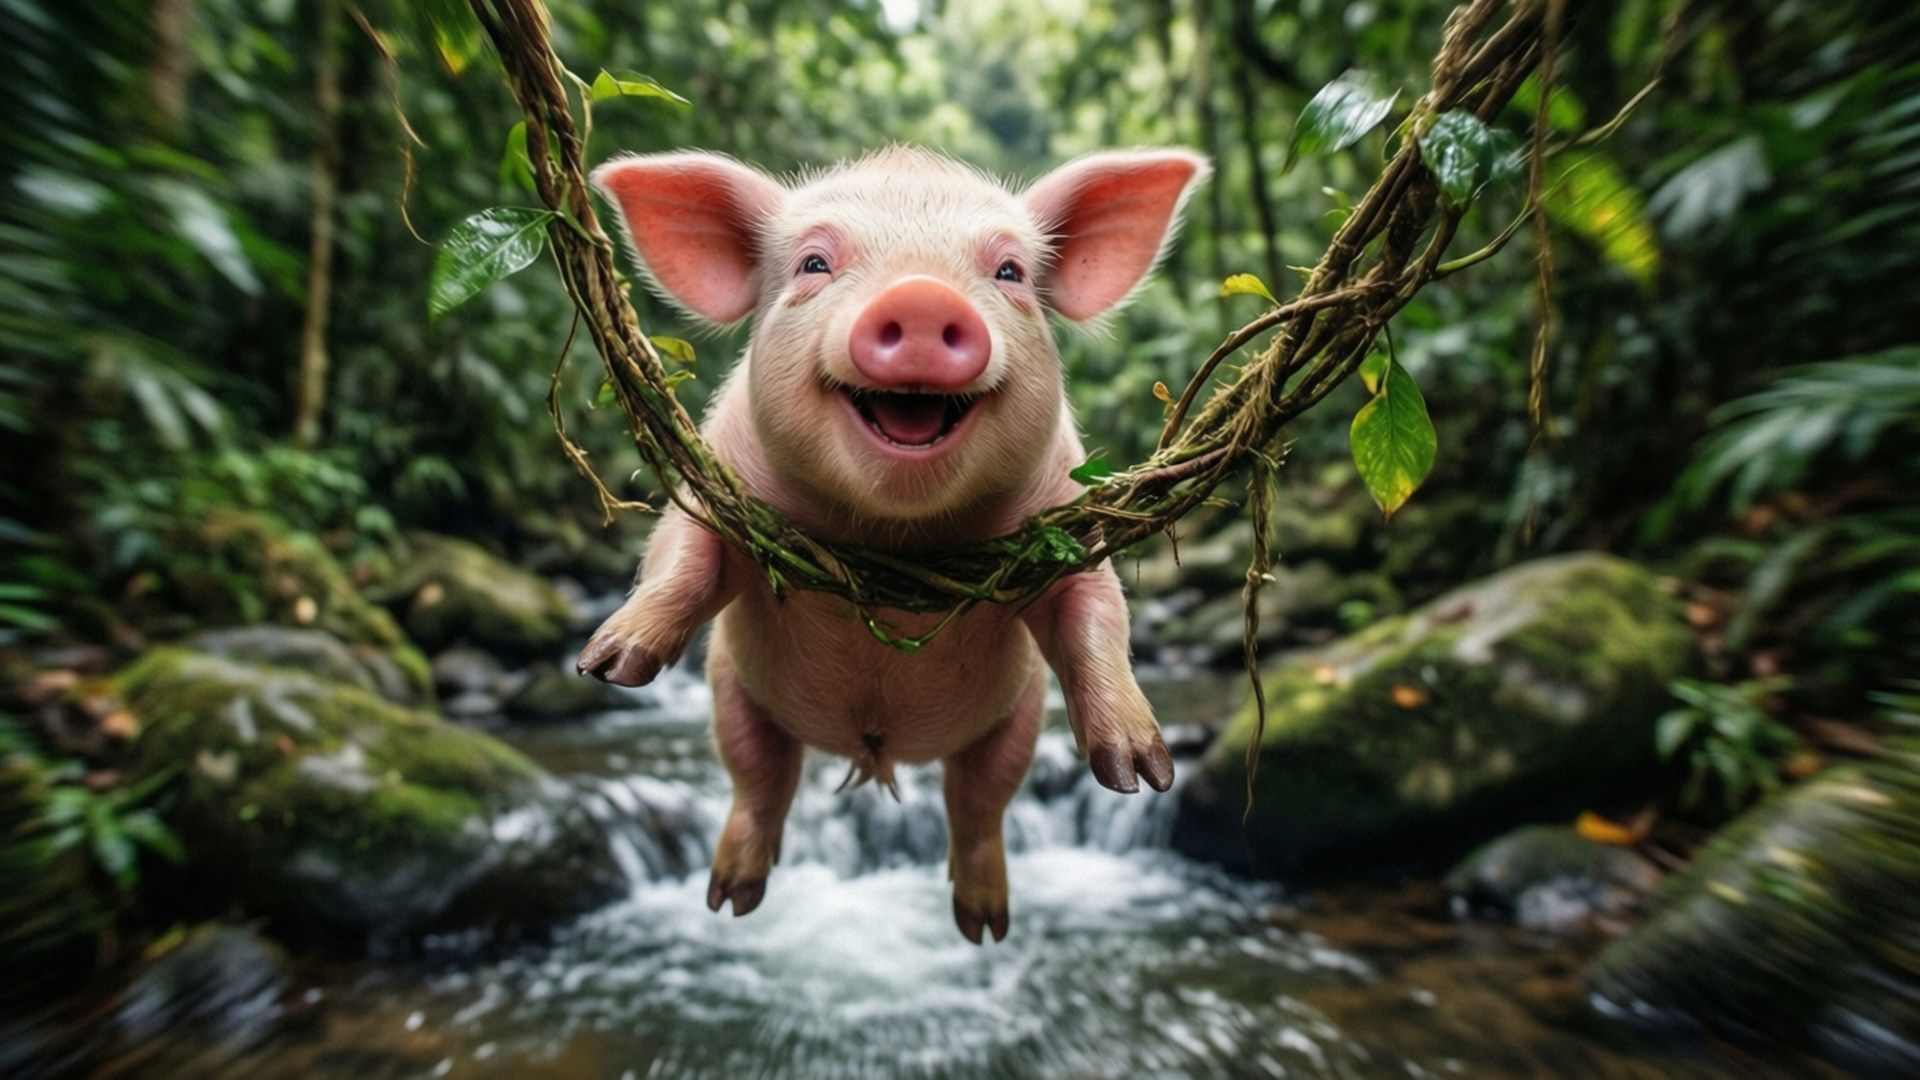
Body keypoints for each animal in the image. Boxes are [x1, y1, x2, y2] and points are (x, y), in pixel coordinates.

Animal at [577, 146, 1209, 943]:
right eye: (814, 263)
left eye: (1010, 272)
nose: (922, 297)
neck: (892, 530)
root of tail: (878, 754)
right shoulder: (719, 491)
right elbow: (681, 558)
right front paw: (607, 668)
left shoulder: (1066, 527)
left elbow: (1097, 613)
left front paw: (1142, 776)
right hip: (734, 694)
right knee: (760, 779)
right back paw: (730, 900)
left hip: (1016, 721)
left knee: (978, 802)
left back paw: (984, 926)